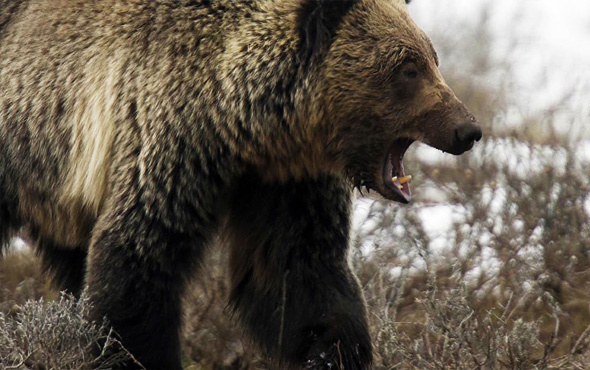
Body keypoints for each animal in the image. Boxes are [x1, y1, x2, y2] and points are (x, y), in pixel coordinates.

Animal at [0, 0, 480, 368]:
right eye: (407, 68)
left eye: (432, 58)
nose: (467, 129)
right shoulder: (169, 144)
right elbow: (137, 264)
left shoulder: (286, 182)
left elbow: (299, 272)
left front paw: (332, 351)